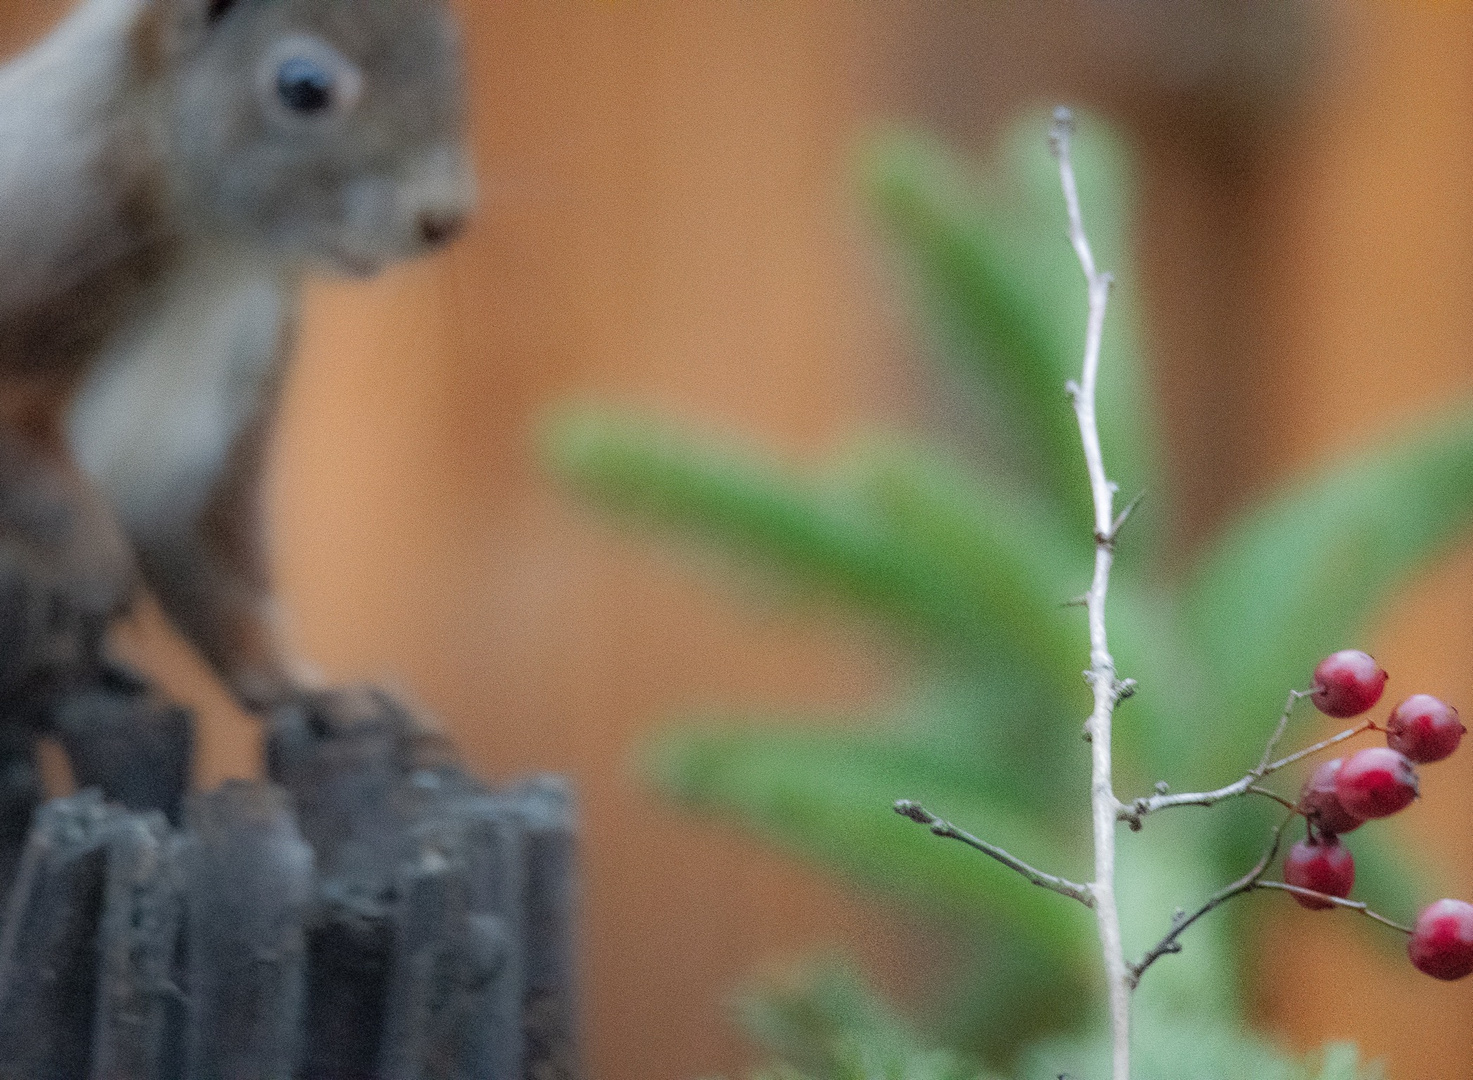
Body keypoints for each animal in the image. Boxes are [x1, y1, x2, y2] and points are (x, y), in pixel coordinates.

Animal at [0, 0, 471, 716]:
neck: (217, 252)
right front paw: (94, 565)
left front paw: (308, 692)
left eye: (456, 57)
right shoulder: (55, 232)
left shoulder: (234, 397)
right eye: (303, 87)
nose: (444, 219)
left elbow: (220, 572)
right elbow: (27, 462)